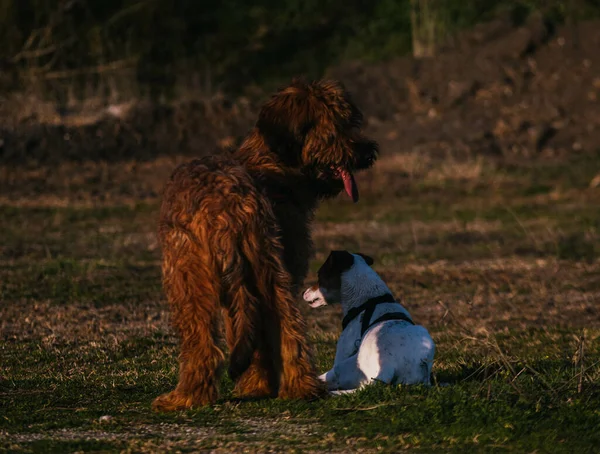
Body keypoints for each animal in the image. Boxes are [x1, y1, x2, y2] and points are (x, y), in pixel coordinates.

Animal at [154, 78, 380, 412]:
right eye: (337, 125)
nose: (369, 152)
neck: (272, 162)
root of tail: (224, 207)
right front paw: (259, 386)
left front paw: (255, 386)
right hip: (263, 269)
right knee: (286, 327)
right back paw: (300, 387)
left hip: (190, 279)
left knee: (202, 341)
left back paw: (188, 396)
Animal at [302, 250, 434, 392]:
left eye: (319, 275)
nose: (304, 293)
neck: (369, 299)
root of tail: (388, 365)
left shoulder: (343, 347)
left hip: (342, 368)